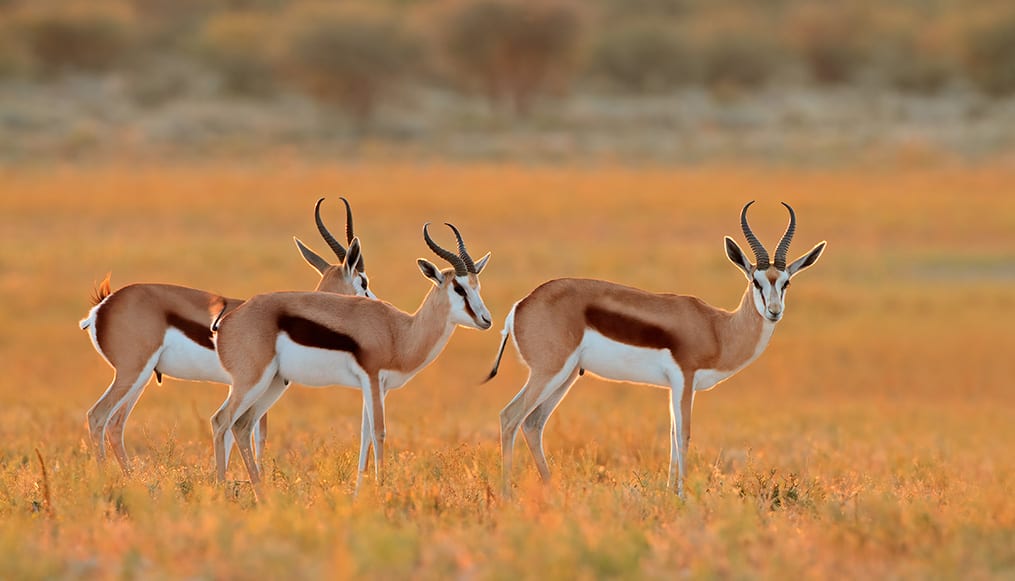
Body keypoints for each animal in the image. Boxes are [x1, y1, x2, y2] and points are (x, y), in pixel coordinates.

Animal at [80, 198, 375, 475]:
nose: (376, 303)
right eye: (363, 282)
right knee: (97, 416)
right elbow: (255, 436)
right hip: (132, 372)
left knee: (115, 424)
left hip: (141, 379)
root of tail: (104, 304)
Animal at [210, 223, 492, 494]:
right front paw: (380, 490)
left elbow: (365, 433)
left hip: (274, 383)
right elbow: (379, 432)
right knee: (221, 420)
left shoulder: (379, 387)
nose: (486, 320)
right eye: (459, 288)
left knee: (242, 425)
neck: (398, 332)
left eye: (477, 286)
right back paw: (223, 492)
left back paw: (261, 495)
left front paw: (359, 493)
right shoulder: (372, 377)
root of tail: (226, 322)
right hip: (252, 382)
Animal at [488, 202, 826, 498]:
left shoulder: (674, 386)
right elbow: (684, 436)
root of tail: (521, 305)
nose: (774, 311)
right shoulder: (685, 380)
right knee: (509, 416)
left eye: (786, 282)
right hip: (548, 372)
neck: (718, 329)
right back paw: (506, 495)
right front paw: (684, 497)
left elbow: (673, 437)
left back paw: (551, 489)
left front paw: (670, 494)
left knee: (533, 423)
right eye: (756, 281)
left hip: (567, 375)